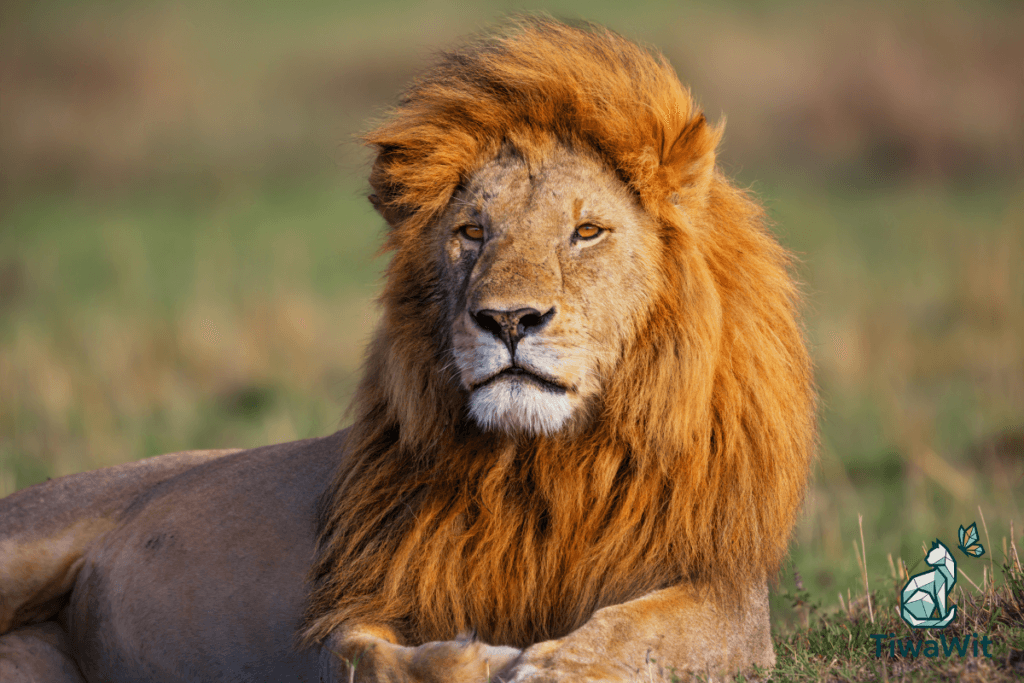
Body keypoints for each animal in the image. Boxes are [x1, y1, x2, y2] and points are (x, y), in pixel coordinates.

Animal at [0, 18, 816, 683]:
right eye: (472, 232)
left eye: (587, 232)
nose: (508, 320)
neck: (541, 465)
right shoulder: (362, 592)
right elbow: (367, 654)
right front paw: (478, 659)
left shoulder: (723, 591)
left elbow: (637, 631)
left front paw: (551, 665)